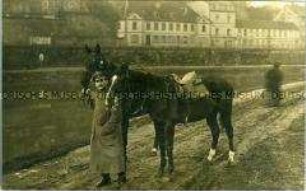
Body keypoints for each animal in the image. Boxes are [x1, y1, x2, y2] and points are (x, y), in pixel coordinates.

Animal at [80, 45, 234, 176]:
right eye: (110, 79)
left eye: (121, 80)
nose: (108, 100)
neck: (160, 93)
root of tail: (226, 82)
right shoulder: (157, 123)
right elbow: (162, 144)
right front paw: (161, 169)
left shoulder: (168, 124)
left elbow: (168, 146)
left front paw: (170, 170)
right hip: (211, 114)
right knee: (216, 131)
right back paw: (210, 157)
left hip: (225, 112)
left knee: (229, 131)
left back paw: (231, 158)